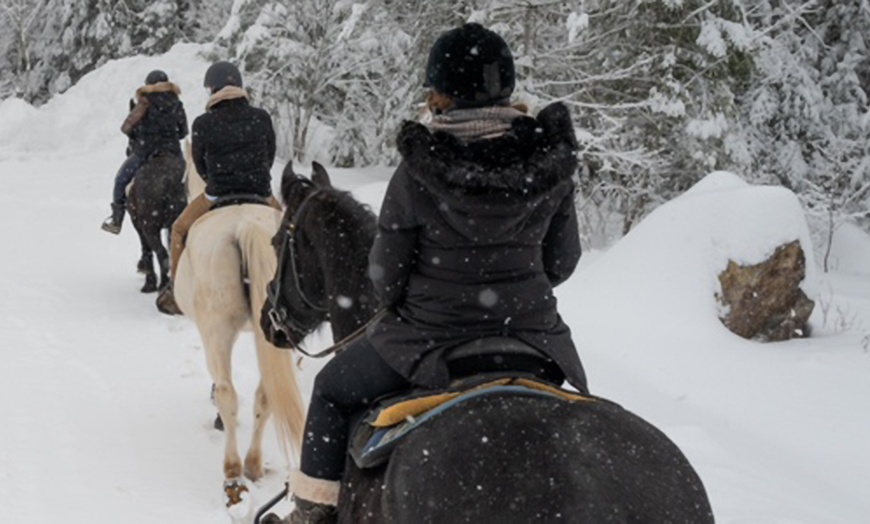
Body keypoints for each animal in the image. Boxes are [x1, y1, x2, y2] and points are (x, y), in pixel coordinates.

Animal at [126, 151, 186, 292]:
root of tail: (170, 180)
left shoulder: (140, 227)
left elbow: (146, 250)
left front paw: (149, 283)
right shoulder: (172, 228)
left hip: (150, 228)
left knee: (161, 253)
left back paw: (163, 284)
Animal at [174, 151, 306, 508]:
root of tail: (247, 225)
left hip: (217, 330)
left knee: (227, 393)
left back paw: (233, 472)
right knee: (267, 394)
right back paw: (254, 465)